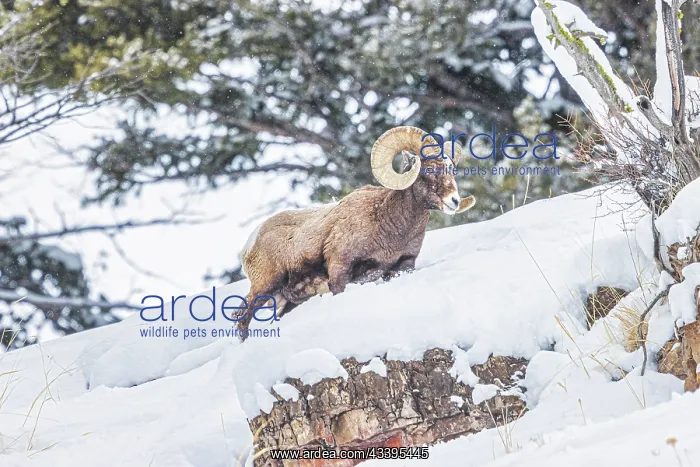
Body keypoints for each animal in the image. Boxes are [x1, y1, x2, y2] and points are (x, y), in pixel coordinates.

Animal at [235, 126, 476, 338]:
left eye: (452, 170)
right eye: (429, 169)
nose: (454, 201)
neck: (389, 226)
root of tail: (249, 244)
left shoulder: (403, 266)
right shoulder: (339, 269)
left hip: (287, 301)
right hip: (265, 286)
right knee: (243, 317)